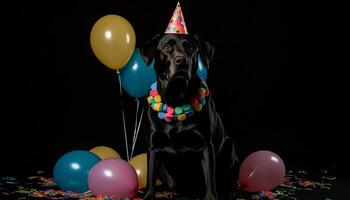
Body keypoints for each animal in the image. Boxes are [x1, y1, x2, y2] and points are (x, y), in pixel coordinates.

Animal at [141, 33, 237, 199]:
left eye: (190, 48)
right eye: (167, 47)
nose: (181, 61)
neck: (176, 101)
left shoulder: (206, 146)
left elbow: (210, 179)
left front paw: (211, 197)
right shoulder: (153, 147)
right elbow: (150, 178)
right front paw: (148, 195)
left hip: (229, 147)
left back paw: (230, 191)